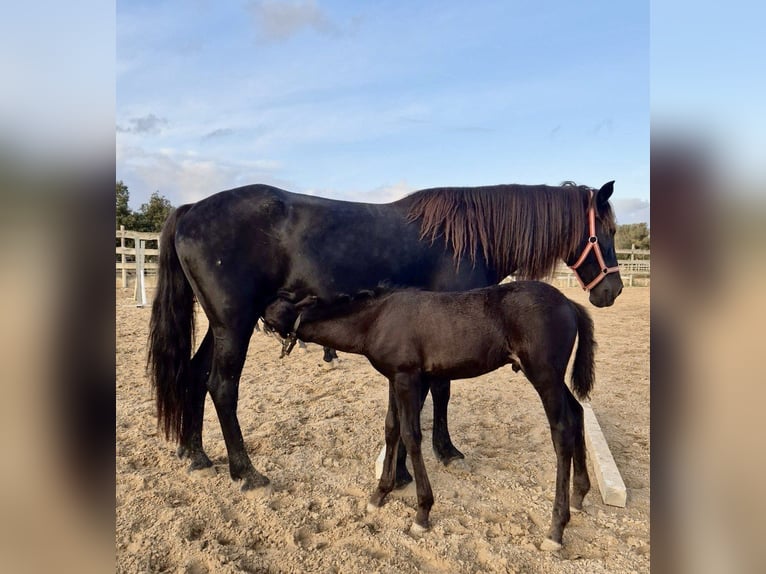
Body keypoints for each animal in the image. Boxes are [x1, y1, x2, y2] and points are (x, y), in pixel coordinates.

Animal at [147, 181, 621, 494]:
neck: (467, 237)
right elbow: (438, 393)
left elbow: (431, 396)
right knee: (222, 387)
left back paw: (195, 453)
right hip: (234, 324)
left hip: (222, 325)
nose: (611, 291)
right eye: (609, 232)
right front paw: (434, 455)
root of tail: (191, 208)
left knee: (195, 376)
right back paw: (245, 471)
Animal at [262, 281, 596, 551]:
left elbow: (411, 436)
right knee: (577, 413)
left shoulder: (408, 378)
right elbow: (391, 429)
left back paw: (556, 529)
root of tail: (569, 302)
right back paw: (580, 494)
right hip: (552, 378)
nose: (261, 319)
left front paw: (422, 513)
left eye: (281, 304)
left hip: (543, 376)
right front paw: (379, 494)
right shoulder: (394, 378)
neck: (377, 319)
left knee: (562, 430)